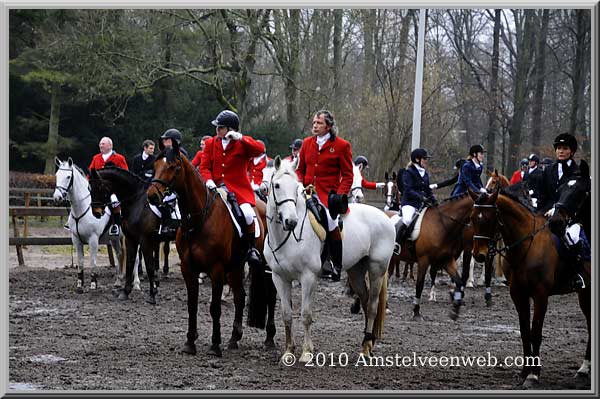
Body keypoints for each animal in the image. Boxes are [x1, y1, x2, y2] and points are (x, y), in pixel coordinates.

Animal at [52, 158, 128, 292]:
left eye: (68, 176)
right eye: (57, 175)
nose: (57, 197)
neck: (82, 208)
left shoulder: (93, 239)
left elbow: (93, 262)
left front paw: (93, 283)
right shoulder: (76, 239)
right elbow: (80, 262)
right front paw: (79, 284)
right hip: (115, 238)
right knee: (120, 255)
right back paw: (118, 281)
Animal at [90, 167, 172, 304]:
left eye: (100, 187)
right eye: (90, 188)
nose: (96, 212)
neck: (137, 201)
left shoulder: (144, 240)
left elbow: (148, 266)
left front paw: (152, 294)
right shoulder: (131, 239)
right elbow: (129, 262)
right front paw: (125, 292)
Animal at [146, 145, 278, 356]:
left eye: (173, 167)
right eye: (155, 165)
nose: (152, 195)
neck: (198, 219)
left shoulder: (216, 269)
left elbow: (215, 307)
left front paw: (215, 345)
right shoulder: (188, 269)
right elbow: (192, 305)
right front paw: (190, 343)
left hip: (265, 266)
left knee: (271, 297)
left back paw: (269, 338)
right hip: (235, 266)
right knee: (240, 297)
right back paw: (234, 338)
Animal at [262, 156, 394, 362]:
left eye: (297, 187)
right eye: (276, 185)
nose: (291, 221)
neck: (287, 236)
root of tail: (386, 217)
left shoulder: (308, 278)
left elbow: (306, 315)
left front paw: (307, 352)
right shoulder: (279, 278)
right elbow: (286, 315)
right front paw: (289, 352)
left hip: (377, 269)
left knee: (372, 305)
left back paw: (365, 349)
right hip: (356, 271)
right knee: (364, 302)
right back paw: (368, 343)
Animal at [468, 189, 592, 390]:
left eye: (488, 218)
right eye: (471, 217)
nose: (479, 255)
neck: (527, 245)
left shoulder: (541, 295)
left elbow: (536, 332)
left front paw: (533, 375)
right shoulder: (518, 294)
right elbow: (525, 332)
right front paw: (525, 372)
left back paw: (584, 369)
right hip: (584, 293)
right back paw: (583, 370)